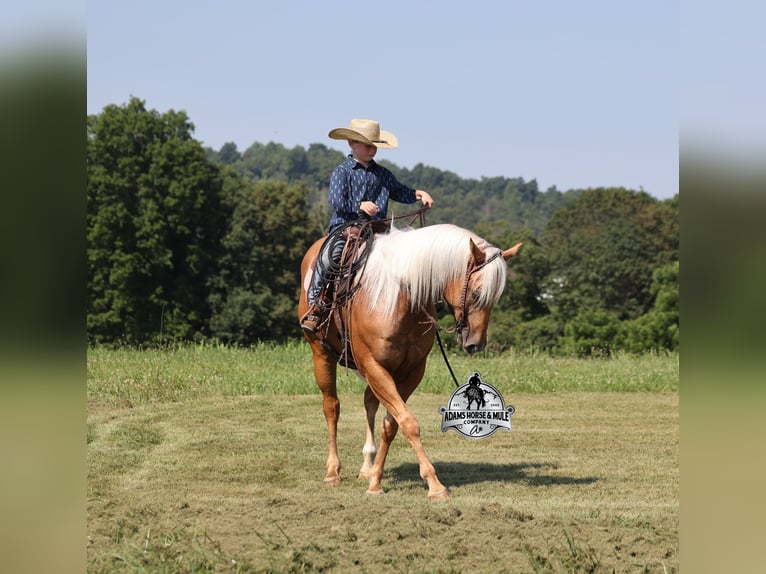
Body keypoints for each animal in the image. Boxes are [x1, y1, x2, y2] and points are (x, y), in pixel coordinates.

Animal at [298, 223, 522, 499]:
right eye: (477, 292)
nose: (476, 344)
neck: (399, 298)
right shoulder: (374, 365)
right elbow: (408, 422)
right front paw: (434, 484)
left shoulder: (411, 371)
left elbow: (391, 424)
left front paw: (375, 479)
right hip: (321, 353)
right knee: (332, 407)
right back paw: (332, 470)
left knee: (369, 402)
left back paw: (367, 466)